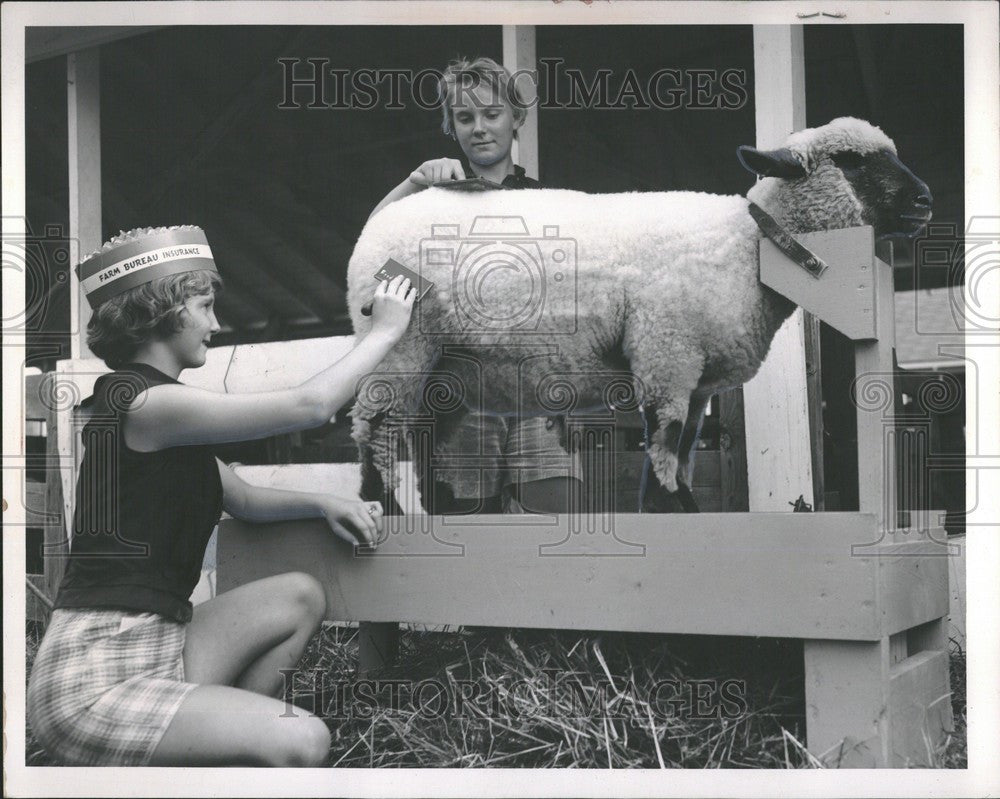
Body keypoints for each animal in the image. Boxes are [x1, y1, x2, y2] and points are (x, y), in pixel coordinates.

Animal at [348, 120, 932, 520]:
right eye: (851, 161)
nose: (925, 199)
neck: (745, 245)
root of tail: (375, 224)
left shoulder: (696, 374)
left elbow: (684, 443)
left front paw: (668, 504)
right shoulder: (665, 349)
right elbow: (664, 437)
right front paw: (675, 506)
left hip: (448, 369)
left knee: (421, 438)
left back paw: (429, 507)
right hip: (402, 346)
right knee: (376, 428)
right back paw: (387, 508)